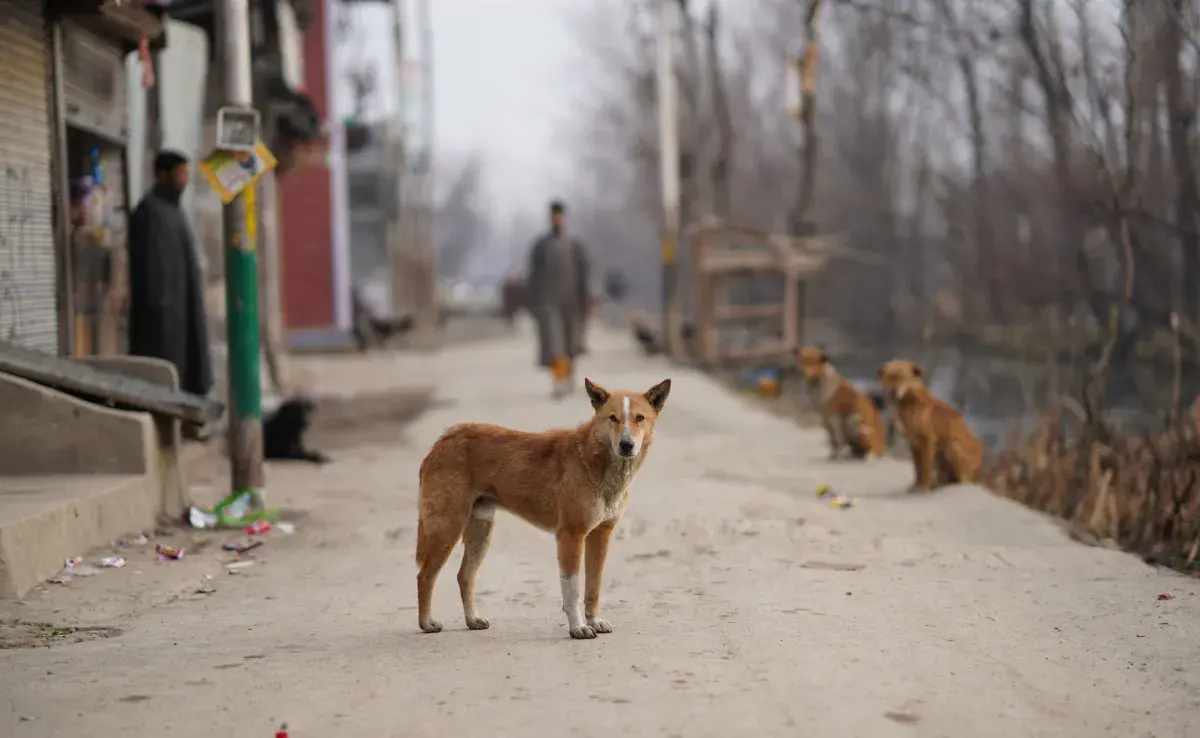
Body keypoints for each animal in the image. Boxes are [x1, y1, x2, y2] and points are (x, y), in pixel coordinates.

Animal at [417, 379, 672, 638]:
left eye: (640, 418)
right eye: (612, 418)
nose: (626, 445)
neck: (594, 461)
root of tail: (443, 440)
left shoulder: (600, 536)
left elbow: (593, 586)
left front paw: (595, 620)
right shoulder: (571, 535)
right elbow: (572, 589)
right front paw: (578, 626)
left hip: (481, 532)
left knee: (464, 576)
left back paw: (472, 619)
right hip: (447, 528)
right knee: (425, 576)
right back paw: (427, 622)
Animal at [878, 357, 979, 492]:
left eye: (903, 377)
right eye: (889, 377)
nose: (893, 391)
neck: (908, 402)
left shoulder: (927, 441)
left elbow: (925, 467)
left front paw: (923, 487)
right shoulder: (913, 443)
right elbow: (918, 468)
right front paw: (916, 485)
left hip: (951, 447)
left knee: (963, 479)